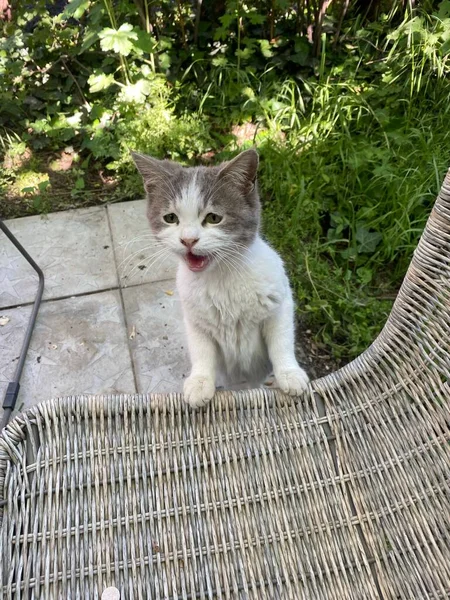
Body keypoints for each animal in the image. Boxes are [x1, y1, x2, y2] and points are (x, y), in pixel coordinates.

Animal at [132, 149, 312, 408]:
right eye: (170, 218)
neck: (221, 276)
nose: (188, 240)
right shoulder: (195, 319)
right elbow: (202, 351)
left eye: (214, 218)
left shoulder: (280, 302)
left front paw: (289, 374)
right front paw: (200, 382)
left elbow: (281, 340)